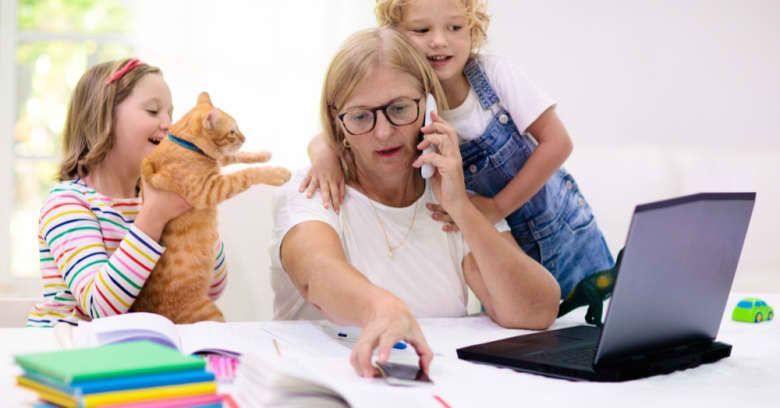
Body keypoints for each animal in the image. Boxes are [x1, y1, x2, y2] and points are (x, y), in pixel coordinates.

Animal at [129, 91, 290, 322]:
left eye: (238, 129)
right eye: (232, 131)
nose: (244, 137)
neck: (184, 144)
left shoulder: (218, 162)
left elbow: (236, 155)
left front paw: (262, 154)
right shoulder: (210, 190)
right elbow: (245, 174)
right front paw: (276, 173)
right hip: (209, 311)